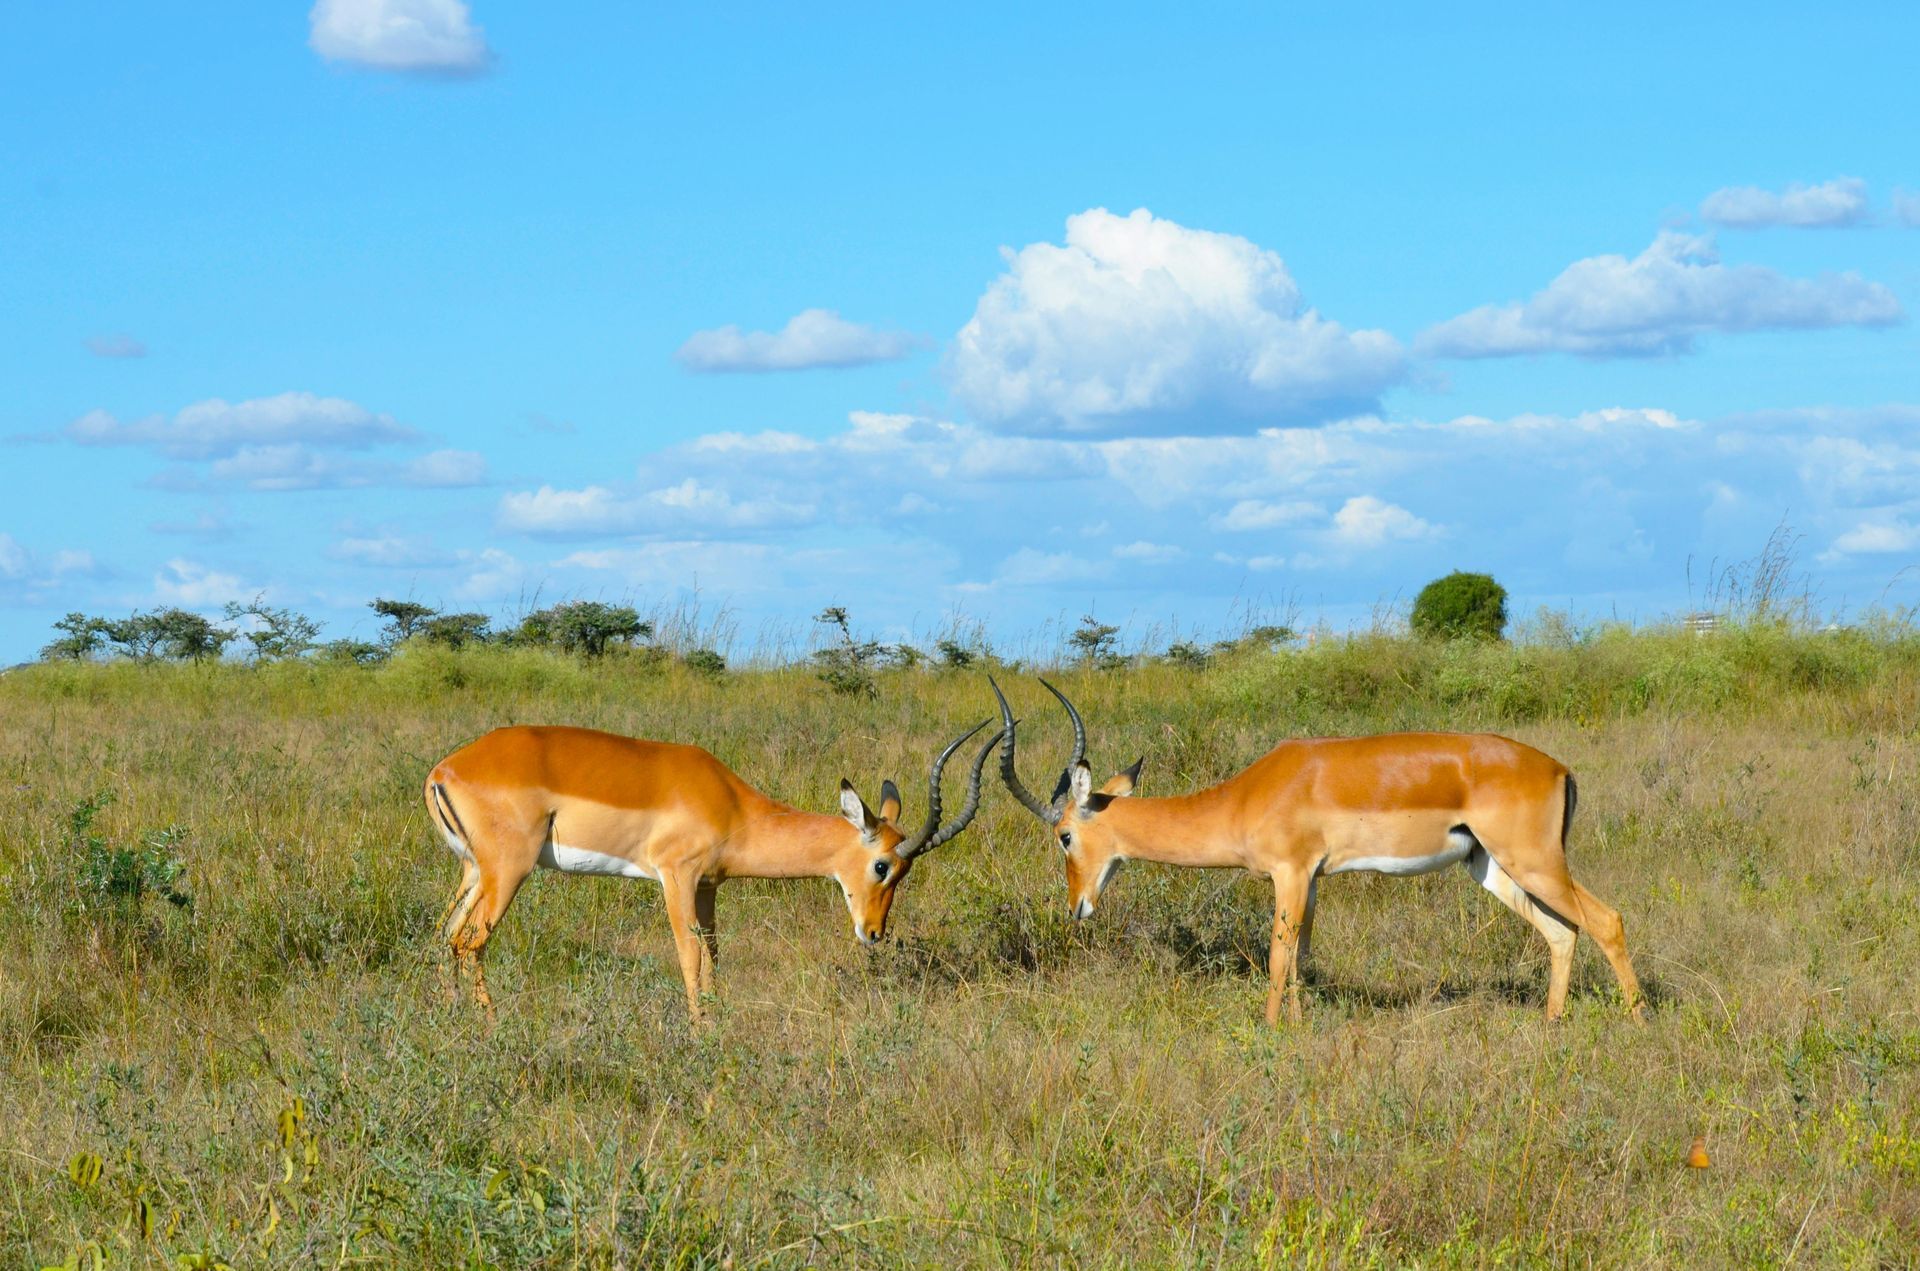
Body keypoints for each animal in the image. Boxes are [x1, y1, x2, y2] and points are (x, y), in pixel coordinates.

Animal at [426, 721, 998, 1021]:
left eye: (903, 873)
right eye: (882, 865)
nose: (874, 933)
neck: (734, 806)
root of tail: (444, 770)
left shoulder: (707, 888)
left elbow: (715, 956)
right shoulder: (676, 877)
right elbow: (689, 955)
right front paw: (700, 1031)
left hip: (474, 873)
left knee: (444, 936)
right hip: (509, 871)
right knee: (471, 941)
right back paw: (491, 1026)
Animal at [998, 683, 1643, 1029]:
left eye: (1063, 835)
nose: (1076, 906)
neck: (1247, 794)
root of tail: (1558, 767)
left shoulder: (1288, 872)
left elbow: (1277, 956)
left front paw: (1268, 1033)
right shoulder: (1310, 879)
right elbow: (1301, 956)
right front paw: (1298, 1027)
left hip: (1533, 860)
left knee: (1607, 920)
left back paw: (1639, 1023)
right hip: (1491, 867)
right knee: (1562, 932)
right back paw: (1552, 1023)